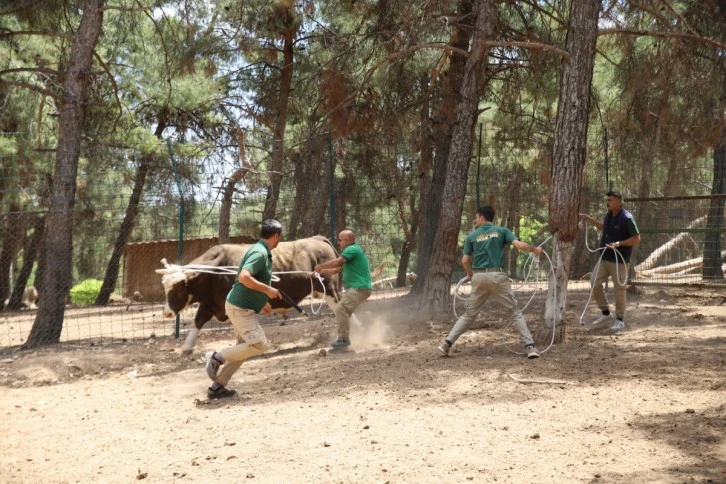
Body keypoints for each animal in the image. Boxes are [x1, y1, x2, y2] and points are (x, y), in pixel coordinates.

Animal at [156, 235, 342, 354]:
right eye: (165, 288)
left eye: (179, 289)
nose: (167, 313)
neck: (216, 271)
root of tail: (317, 238)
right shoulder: (211, 303)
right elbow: (198, 321)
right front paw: (187, 347)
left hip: (329, 288)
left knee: (339, 308)